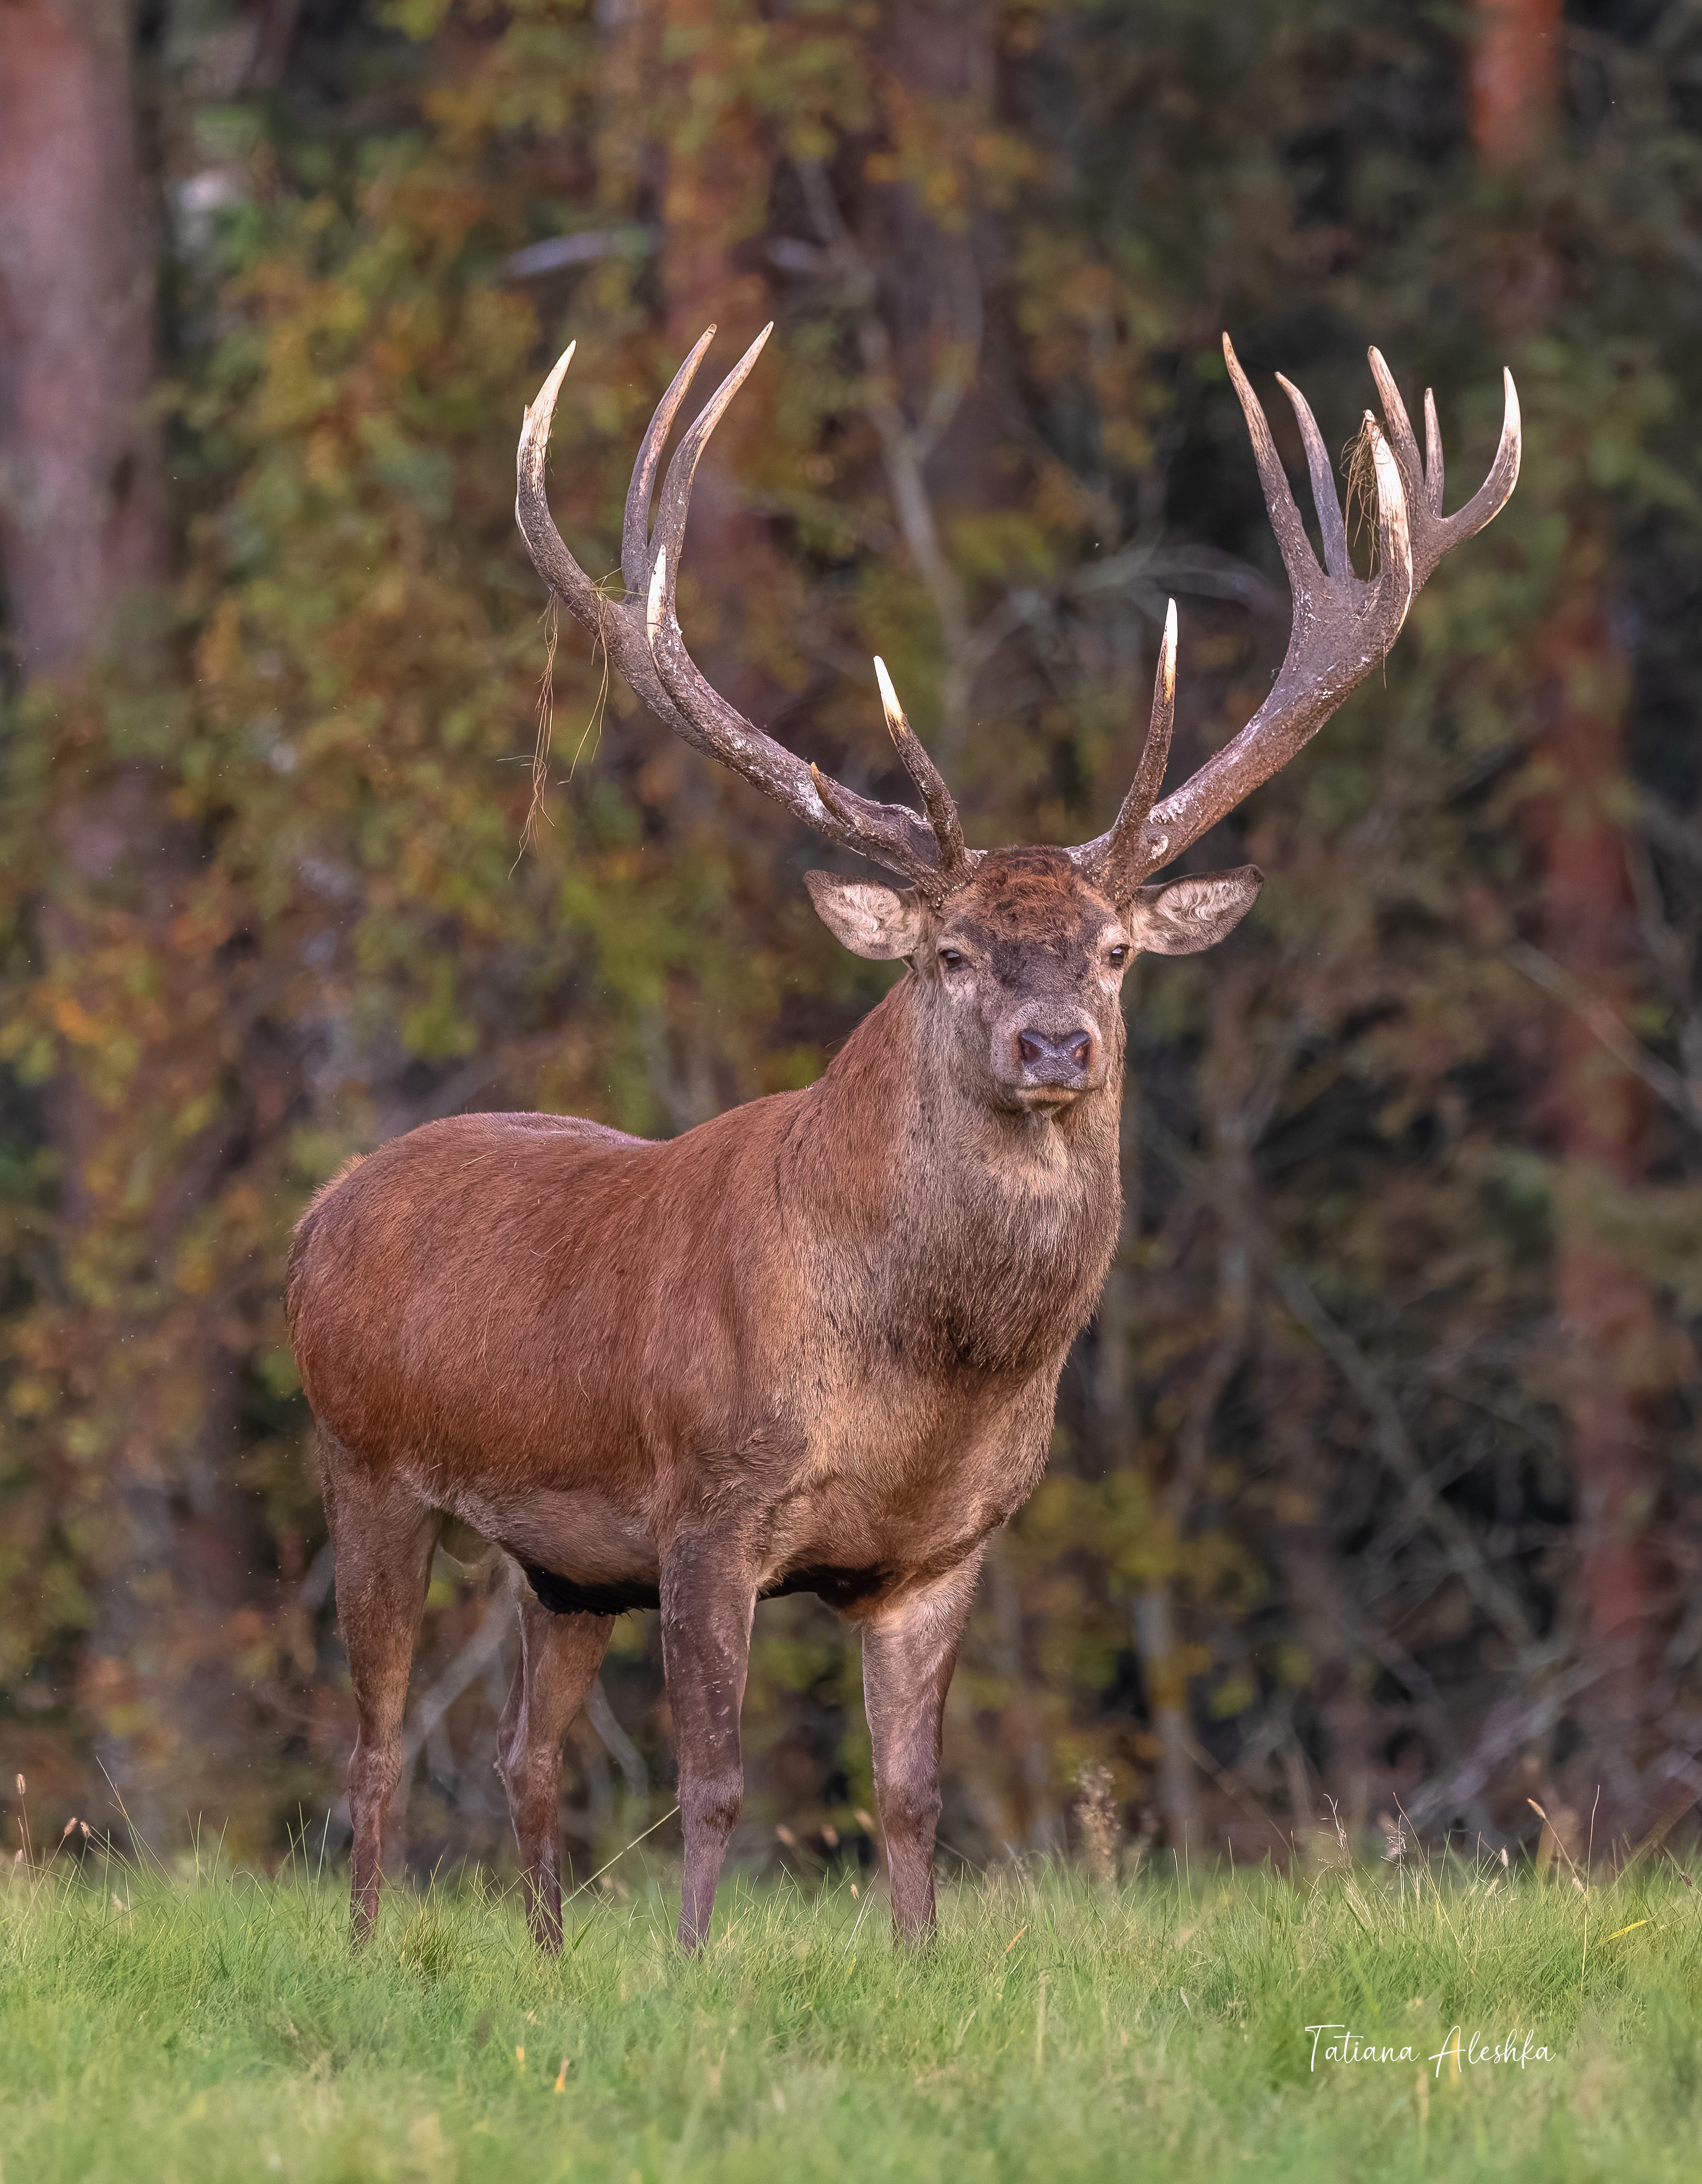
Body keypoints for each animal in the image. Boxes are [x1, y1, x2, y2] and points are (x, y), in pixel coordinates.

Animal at [286, 318, 1518, 1948]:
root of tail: (320, 1209)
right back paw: (371, 1947)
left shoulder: (943, 1546)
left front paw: (915, 1956)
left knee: (519, 1751)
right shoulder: (707, 1500)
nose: (1052, 1042)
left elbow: (915, 1794)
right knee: (372, 1739)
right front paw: (690, 1968)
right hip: (363, 1458)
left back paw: (544, 1961)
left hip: (562, 1564)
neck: (925, 1376)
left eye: (1113, 951)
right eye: (949, 953)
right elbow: (716, 1781)